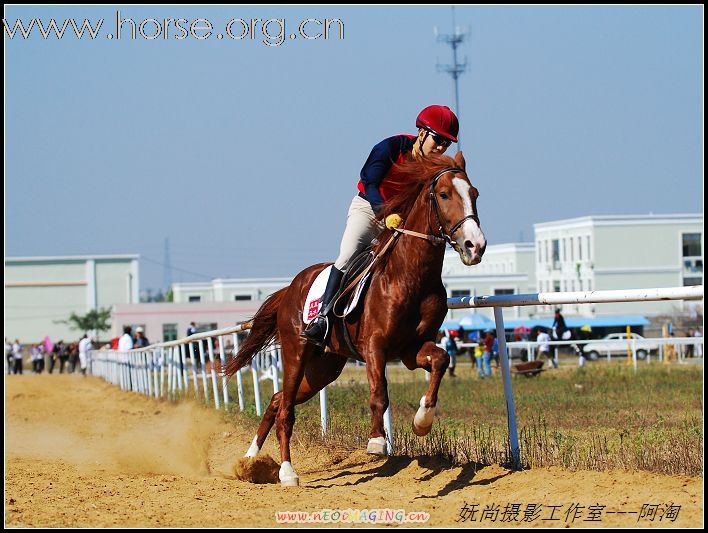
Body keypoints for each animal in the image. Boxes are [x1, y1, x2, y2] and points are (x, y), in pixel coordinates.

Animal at [224, 151, 484, 486]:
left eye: (474, 194)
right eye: (444, 194)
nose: (475, 246)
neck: (411, 276)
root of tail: (290, 287)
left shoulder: (411, 349)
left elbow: (440, 360)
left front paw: (422, 420)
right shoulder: (374, 346)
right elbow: (379, 394)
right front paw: (376, 441)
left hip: (324, 368)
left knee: (277, 400)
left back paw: (250, 459)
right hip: (297, 352)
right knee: (285, 411)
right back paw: (286, 471)